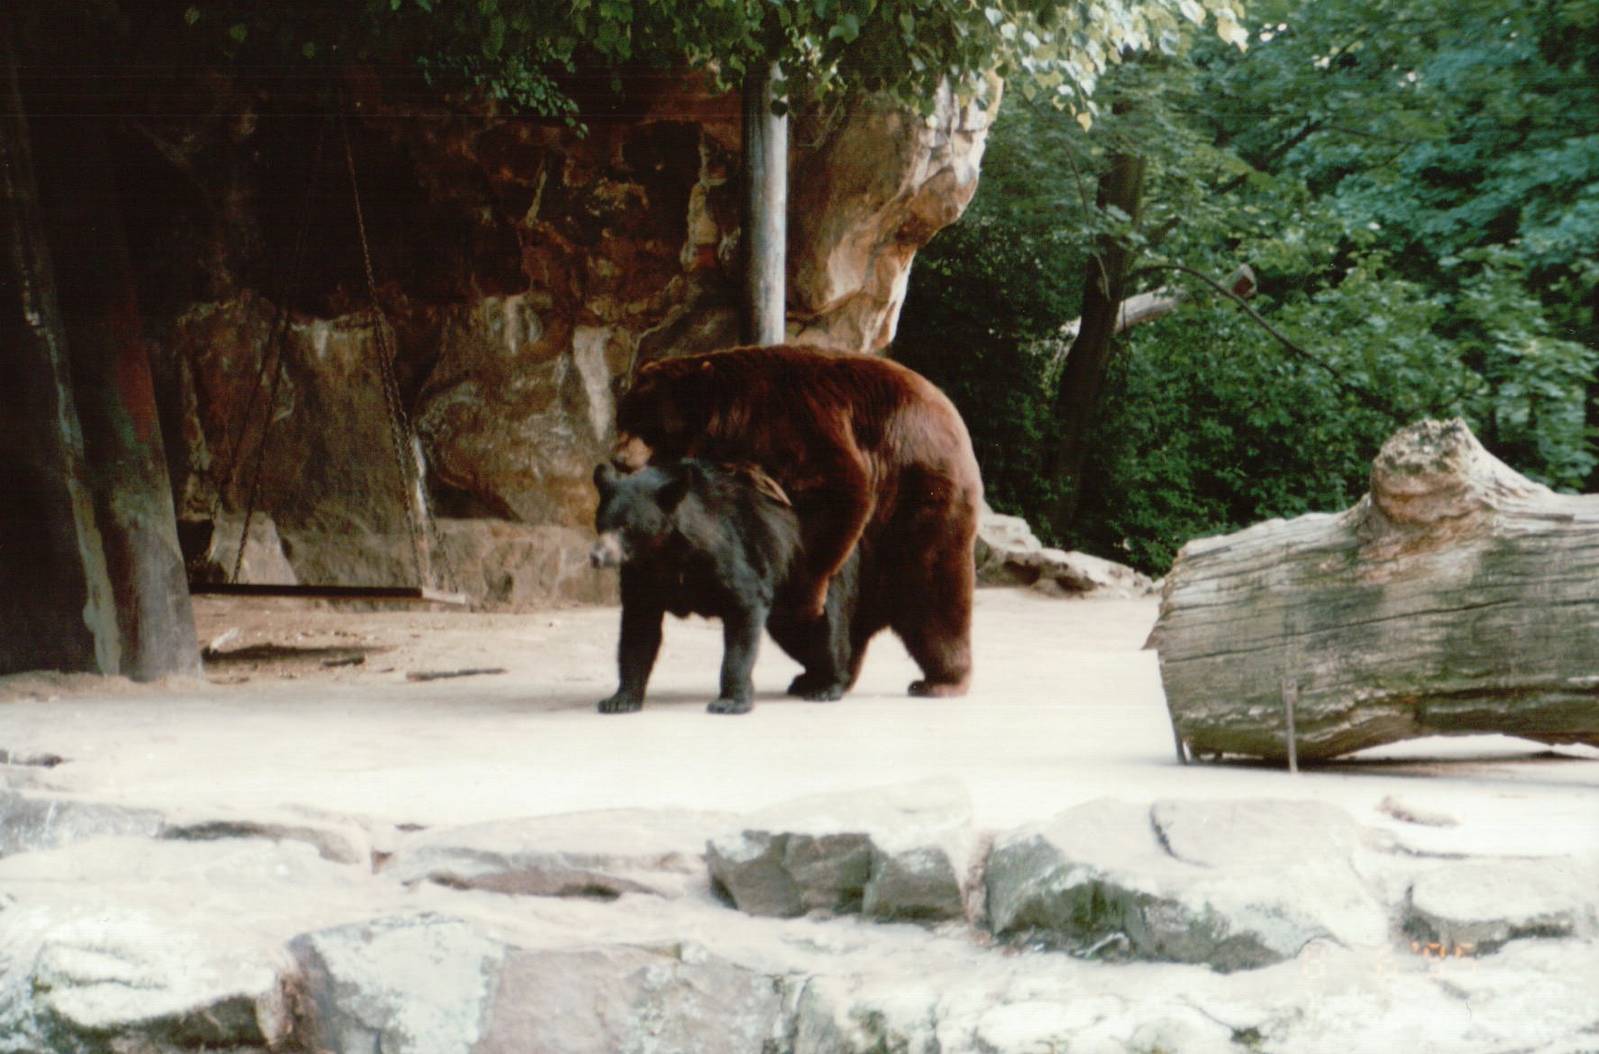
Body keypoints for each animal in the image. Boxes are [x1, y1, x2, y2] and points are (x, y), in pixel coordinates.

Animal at [589, 459, 858, 715]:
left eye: (626, 526)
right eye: (601, 523)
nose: (596, 556)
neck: (665, 553)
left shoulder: (726, 553)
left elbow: (744, 606)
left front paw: (730, 702)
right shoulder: (642, 575)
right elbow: (638, 629)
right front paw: (619, 700)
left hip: (812, 575)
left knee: (824, 630)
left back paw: (828, 685)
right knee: (796, 634)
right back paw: (809, 680)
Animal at [611, 343, 982, 698]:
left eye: (645, 425)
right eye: (622, 418)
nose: (618, 458)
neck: (731, 421)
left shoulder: (791, 422)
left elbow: (837, 489)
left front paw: (806, 600)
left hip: (919, 499)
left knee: (931, 594)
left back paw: (940, 680)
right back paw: (818, 675)